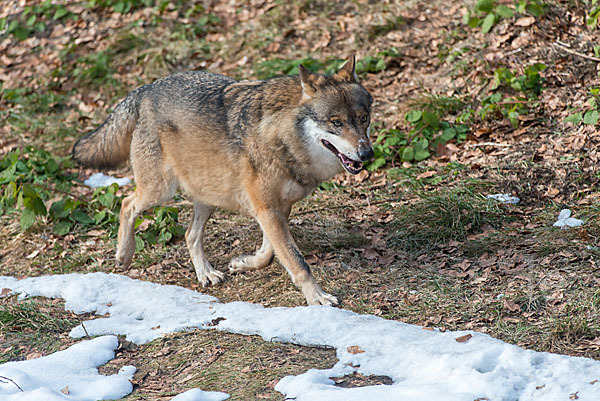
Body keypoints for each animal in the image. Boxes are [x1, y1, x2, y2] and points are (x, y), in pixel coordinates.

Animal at [72, 54, 372, 304]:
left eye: (363, 119)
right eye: (336, 123)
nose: (367, 153)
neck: (285, 138)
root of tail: (146, 88)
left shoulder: (278, 208)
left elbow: (270, 252)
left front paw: (245, 263)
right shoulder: (267, 209)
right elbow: (298, 261)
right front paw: (318, 298)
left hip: (208, 195)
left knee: (189, 234)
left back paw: (205, 273)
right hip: (161, 191)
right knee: (127, 204)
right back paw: (124, 255)